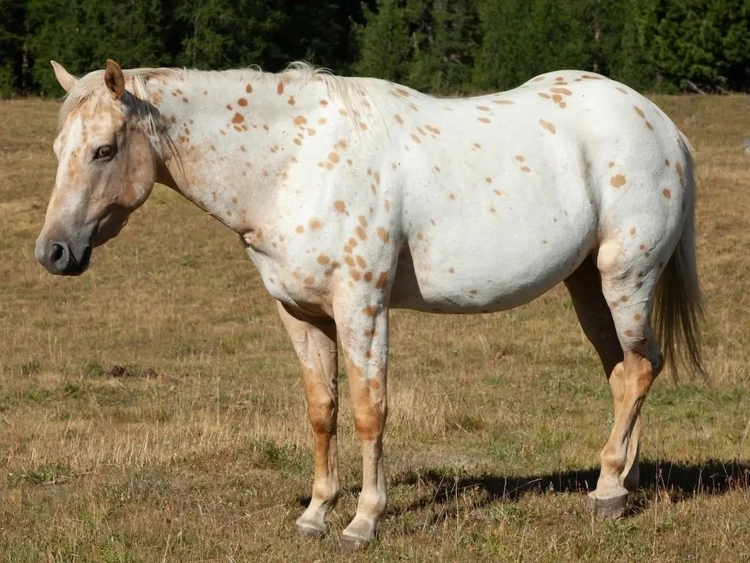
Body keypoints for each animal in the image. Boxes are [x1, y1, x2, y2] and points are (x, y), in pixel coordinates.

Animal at [36, 59, 704, 551]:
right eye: (58, 148)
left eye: (102, 150)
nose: (54, 252)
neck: (292, 167)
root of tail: (661, 125)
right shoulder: (299, 313)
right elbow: (322, 411)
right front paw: (315, 513)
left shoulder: (361, 306)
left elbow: (368, 411)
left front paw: (363, 521)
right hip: (586, 286)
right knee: (625, 371)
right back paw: (621, 481)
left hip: (625, 278)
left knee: (638, 368)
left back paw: (608, 492)